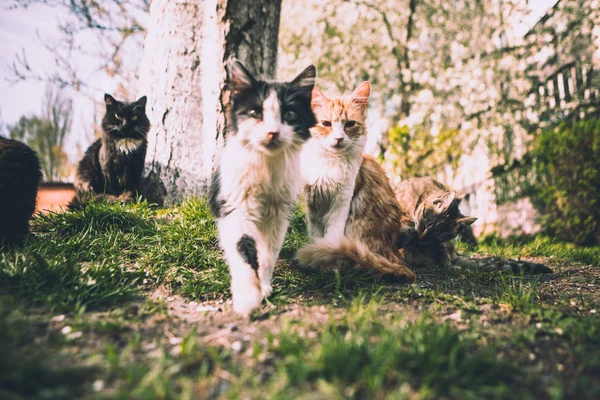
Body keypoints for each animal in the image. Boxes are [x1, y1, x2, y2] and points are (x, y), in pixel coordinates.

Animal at [209, 58, 316, 316]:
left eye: (289, 114)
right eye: (255, 113)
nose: (272, 132)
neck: (266, 166)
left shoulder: (278, 214)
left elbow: (268, 254)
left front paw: (264, 286)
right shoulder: (236, 209)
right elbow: (244, 252)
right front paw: (248, 297)